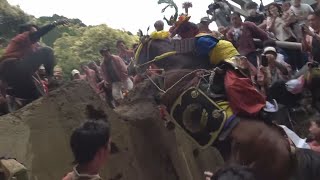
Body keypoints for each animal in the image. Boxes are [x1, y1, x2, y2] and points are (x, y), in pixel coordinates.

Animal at [129, 37, 320, 180]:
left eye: (137, 50)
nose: (131, 69)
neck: (178, 66)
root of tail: (291, 152)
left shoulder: (169, 90)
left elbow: (156, 95)